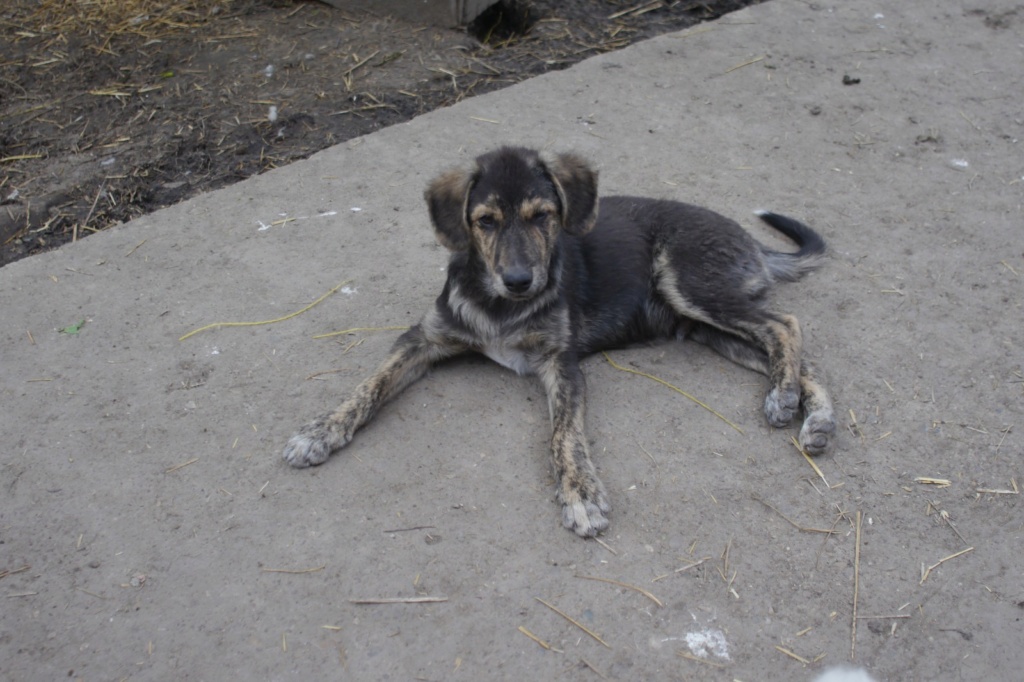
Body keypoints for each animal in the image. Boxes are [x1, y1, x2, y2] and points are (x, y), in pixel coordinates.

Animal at [284, 146, 835, 532]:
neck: (499, 306)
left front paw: (581, 494)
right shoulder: (423, 338)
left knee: (785, 324)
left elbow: (564, 434)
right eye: (486, 221)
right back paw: (813, 416)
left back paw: (786, 397)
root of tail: (751, 242)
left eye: (543, 215)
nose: (520, 280)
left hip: (692, 284)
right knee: (784, 350)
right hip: (703, 326)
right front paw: (320, 431)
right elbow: (368, 385)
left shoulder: (560, 362)